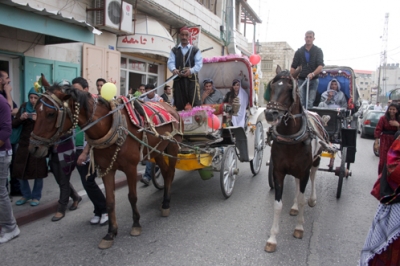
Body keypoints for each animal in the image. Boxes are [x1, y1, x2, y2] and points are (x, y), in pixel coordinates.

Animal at [28, 83, 182, 249]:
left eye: (50, 113)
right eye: (36, 111)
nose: (33, 148)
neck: (112, 126)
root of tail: (172, 108)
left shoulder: (131, 168)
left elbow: (132, 197)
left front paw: (136, 224)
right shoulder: (107, 170)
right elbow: (109, 201)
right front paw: (110, 233)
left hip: (173, 147)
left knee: (170, 172)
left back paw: (166, 204)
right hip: (157, 151)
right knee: (165, 172)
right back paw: (164, 200)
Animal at [264, 66, 324, 251]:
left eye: (290, 88)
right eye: (272, 86)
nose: (270, 114)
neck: (291, 137)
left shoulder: (304, 171)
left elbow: (303, 199)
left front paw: (299, 227)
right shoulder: (278, 171)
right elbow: (278, 205)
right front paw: (272, 238)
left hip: (316, 160)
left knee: (313, 176)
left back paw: (312, 199)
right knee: (297, 185)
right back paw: (295, 207)